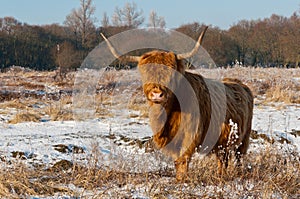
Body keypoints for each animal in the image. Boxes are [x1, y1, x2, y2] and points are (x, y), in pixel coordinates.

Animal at [101, 27, 253, 181]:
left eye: (171, 73)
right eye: (146, 74)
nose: (157, 94)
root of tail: (240, 84)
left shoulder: (189, 135)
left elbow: (183, 159)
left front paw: (182, 180)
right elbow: (177, 161)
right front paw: (179, 178)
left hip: (244, 138)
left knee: (238, 157)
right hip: (223, 142)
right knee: (222, 159)